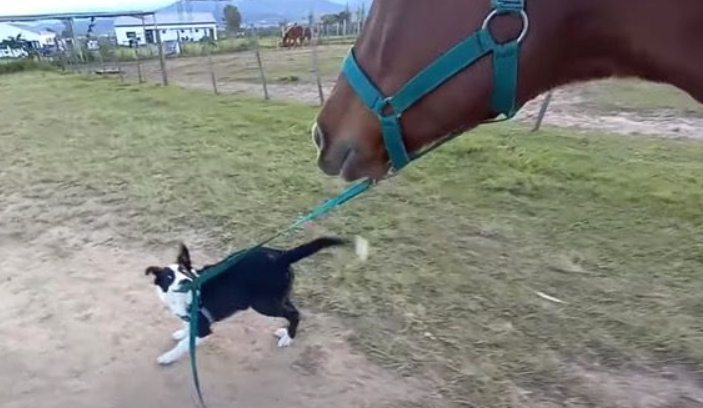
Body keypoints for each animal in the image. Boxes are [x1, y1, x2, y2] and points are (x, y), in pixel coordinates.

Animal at [144, 237, 352, 364]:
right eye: (169, 277)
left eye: (184, 272)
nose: (186, 281)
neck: (183, 297)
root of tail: (281, 256)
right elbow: (186, 330)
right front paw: (182, 332)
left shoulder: (204, 328)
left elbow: (184, 345)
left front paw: (168, 357)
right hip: (278, 296)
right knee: (293, 311)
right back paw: (285, 332)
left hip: (263, 304)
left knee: (294, 313)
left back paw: (288, 338)